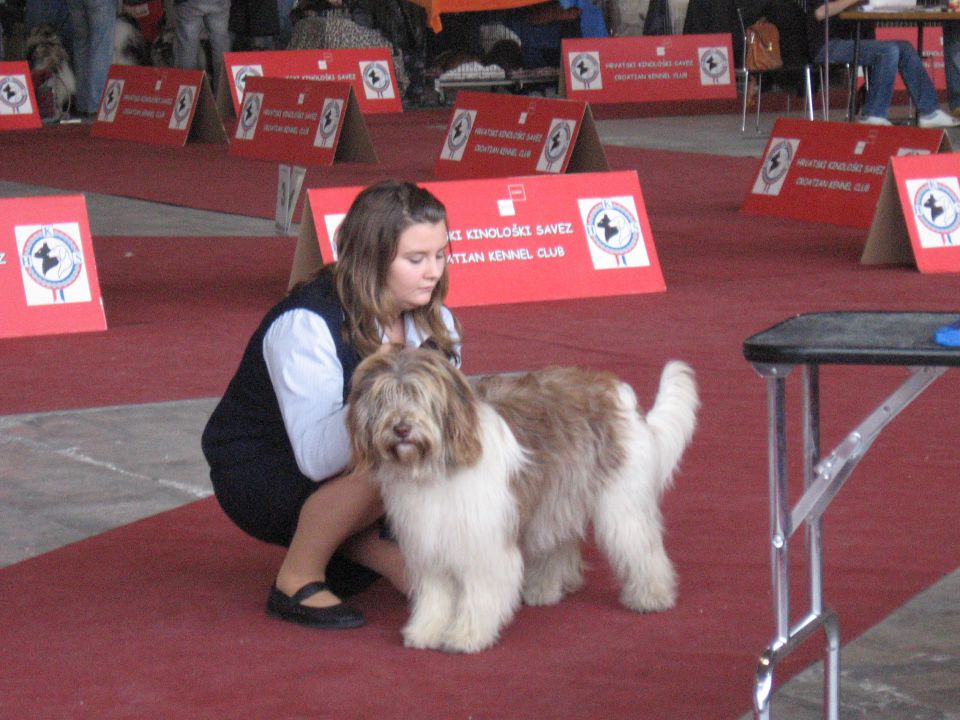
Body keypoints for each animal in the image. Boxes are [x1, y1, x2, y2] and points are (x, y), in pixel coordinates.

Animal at [348, 348, 700, 652]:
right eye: (383, 399)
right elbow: (436, 596)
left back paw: (651, 596)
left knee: (642, 547)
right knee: (559, 539)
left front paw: (467, 636)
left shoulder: (482, 544)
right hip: (559, 496)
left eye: (419, 396)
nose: (401, 428)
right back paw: (545, 588)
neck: (437, 467)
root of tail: (616, 390)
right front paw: (426, 631)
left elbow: (478, 592)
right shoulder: (429, 542)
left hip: (620, 502)